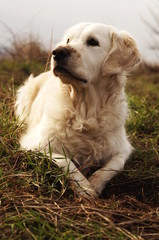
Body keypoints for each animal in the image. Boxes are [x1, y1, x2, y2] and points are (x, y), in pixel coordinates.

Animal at [14, 22, 139, 199]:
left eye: (93, 41)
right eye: (68, 40)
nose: (57, 52)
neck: (85, 111)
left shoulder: (123, 148)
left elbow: (114, 165)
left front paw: (95, 183)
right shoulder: (36, 143)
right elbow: (65, 161)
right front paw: (85, 188)